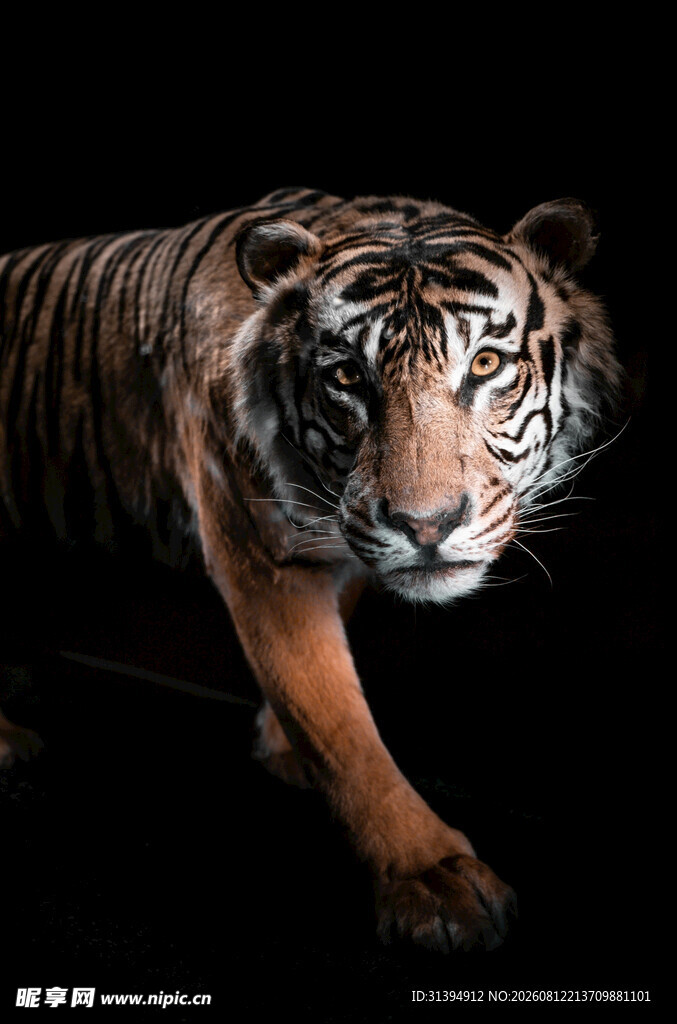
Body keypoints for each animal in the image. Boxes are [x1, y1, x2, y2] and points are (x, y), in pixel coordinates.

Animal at [0, 186, 620, 952]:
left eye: (483, 366)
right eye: (348, 376)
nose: (426, 524)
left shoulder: (343, 547)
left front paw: (281, 745)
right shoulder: (267, 561)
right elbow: (333, 717)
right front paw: (430, 877)